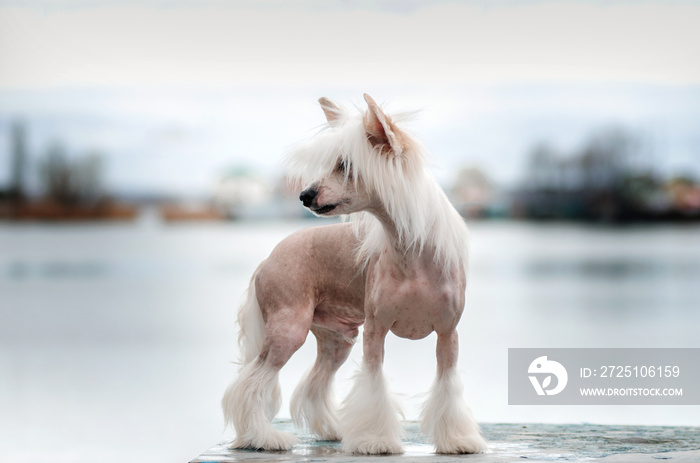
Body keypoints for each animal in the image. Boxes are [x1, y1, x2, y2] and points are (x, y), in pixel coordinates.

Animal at [223, 94, 486, 456]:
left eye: (344, 166)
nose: (304, 195)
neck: (413, 259)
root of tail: (267, 261)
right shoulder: (375, 331)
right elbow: (373, 383)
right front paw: (376, 440)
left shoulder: (448, 335)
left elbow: (447, 385)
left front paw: (457, 440)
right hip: (289, 329)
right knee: (252, 382)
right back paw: (262, 438)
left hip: (337, 339)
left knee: (313, 386)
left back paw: (333, 429)